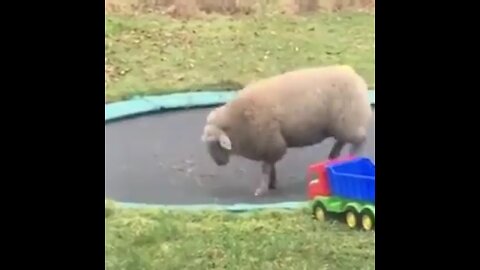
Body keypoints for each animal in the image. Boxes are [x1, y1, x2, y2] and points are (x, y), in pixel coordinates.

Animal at [201, 65, 374, 196]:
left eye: (215, 143)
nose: (219, 163)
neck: (237, 121)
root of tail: (354, 75)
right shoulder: (271, 145)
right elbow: (271, 166)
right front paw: (272, 183)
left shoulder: (271, 144)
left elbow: (266, 168)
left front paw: (262, 189)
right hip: (341, 125)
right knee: (341, 141)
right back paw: (333, 157)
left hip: (350, 122)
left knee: (359, 142)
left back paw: (354, 160)